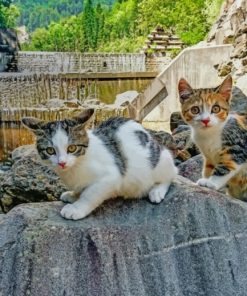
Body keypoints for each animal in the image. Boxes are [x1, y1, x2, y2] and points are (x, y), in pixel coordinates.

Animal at [21, 109, 178, 220]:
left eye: (72, 148)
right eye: (50, 150)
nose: (62, 163)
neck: (76, 166)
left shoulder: (112, 176)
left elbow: (90, 193)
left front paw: (76, 208)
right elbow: (82, 189)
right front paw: (74, 195)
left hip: (160, 161)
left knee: (171, 174)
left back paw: (157, 191)